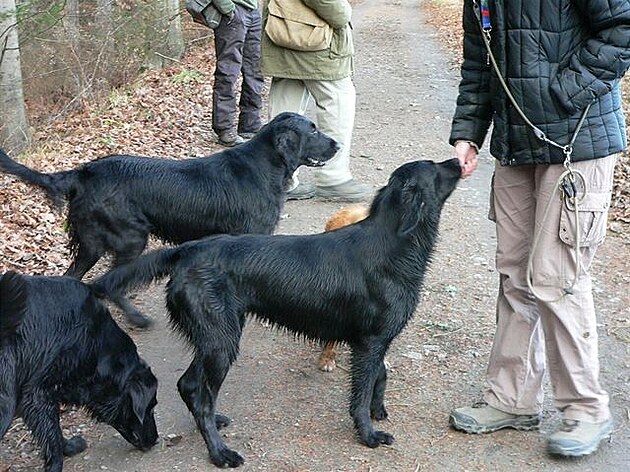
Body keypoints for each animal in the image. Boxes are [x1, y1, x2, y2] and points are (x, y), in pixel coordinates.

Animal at [0, 113, 340, 328]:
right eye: (312, 131)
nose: (337, 144)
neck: (264, 165)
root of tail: (84, 173)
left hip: (93, 243)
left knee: (76, 276)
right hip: (130, 238)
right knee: (108, 283)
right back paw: (136, 318)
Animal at [0, 272, 158, 472]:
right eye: (151, 407)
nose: (156, 440)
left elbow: (53, 432)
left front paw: (69, 446)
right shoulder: (38, 393)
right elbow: (52, 436)